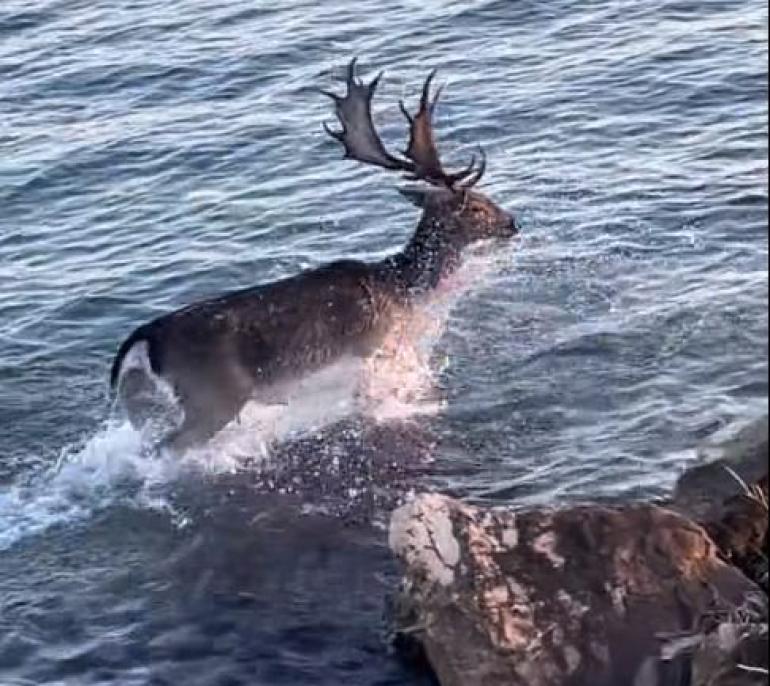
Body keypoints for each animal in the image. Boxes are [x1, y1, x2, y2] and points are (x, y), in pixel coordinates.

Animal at [109, 60, 516, 452]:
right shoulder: (376, 351)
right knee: (165, 448)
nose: (513, 222)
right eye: (476, 207)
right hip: (212, 396)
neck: (406, 290)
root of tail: (147, 338)